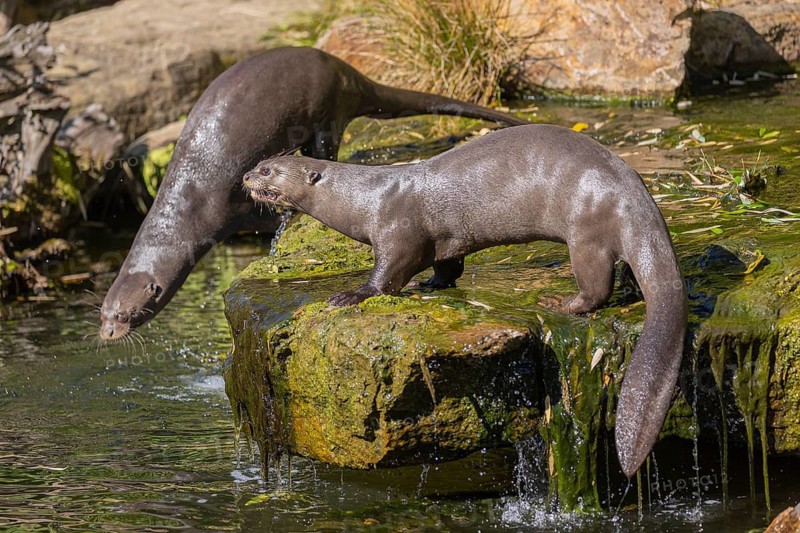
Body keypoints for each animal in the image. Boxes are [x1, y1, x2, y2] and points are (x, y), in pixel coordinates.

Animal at [99, 46, 528, 341]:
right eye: (103, 312)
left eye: (127, 314)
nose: (107, 334)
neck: (187, 203)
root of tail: (342, 67)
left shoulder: (228, 204)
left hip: (327, 109)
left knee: (326, 146)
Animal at [242, 124, 687, 477]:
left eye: (269, 171)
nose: (245, 176)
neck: (362, 198)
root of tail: (635, 194)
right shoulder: (444, 243)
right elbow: (448, 266)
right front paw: (431, 284)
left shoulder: (396, 231)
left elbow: (387, 274)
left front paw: (351, 295)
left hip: (586, 229)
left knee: (597, 285)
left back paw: (561, 303)